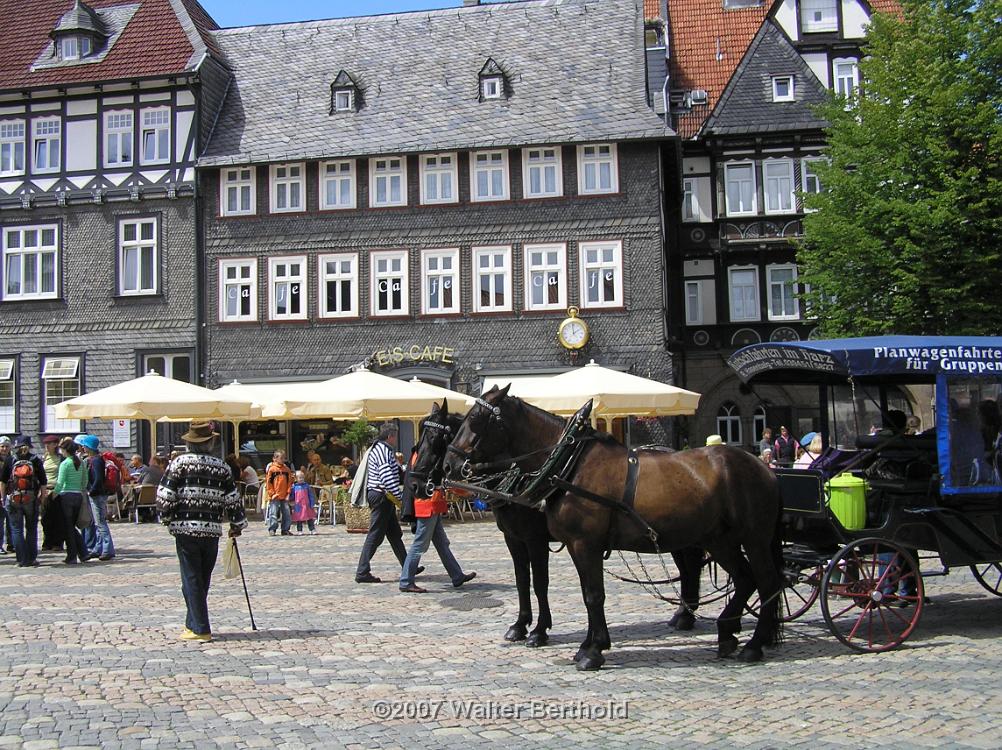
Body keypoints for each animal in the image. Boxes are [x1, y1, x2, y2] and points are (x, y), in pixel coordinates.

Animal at [444, 386, 781, 668]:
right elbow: (571, 590)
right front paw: (583, 643)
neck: (569, 465)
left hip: (754, 539)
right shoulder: (549, 544)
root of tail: (763, 468)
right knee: (741, 579)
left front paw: (587, 650)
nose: (448, 465)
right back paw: (725, 631)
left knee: (766, 583)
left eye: (476, 419)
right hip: (717, 540)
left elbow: (587, 594)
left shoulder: (574, 543)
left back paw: (753, 643)